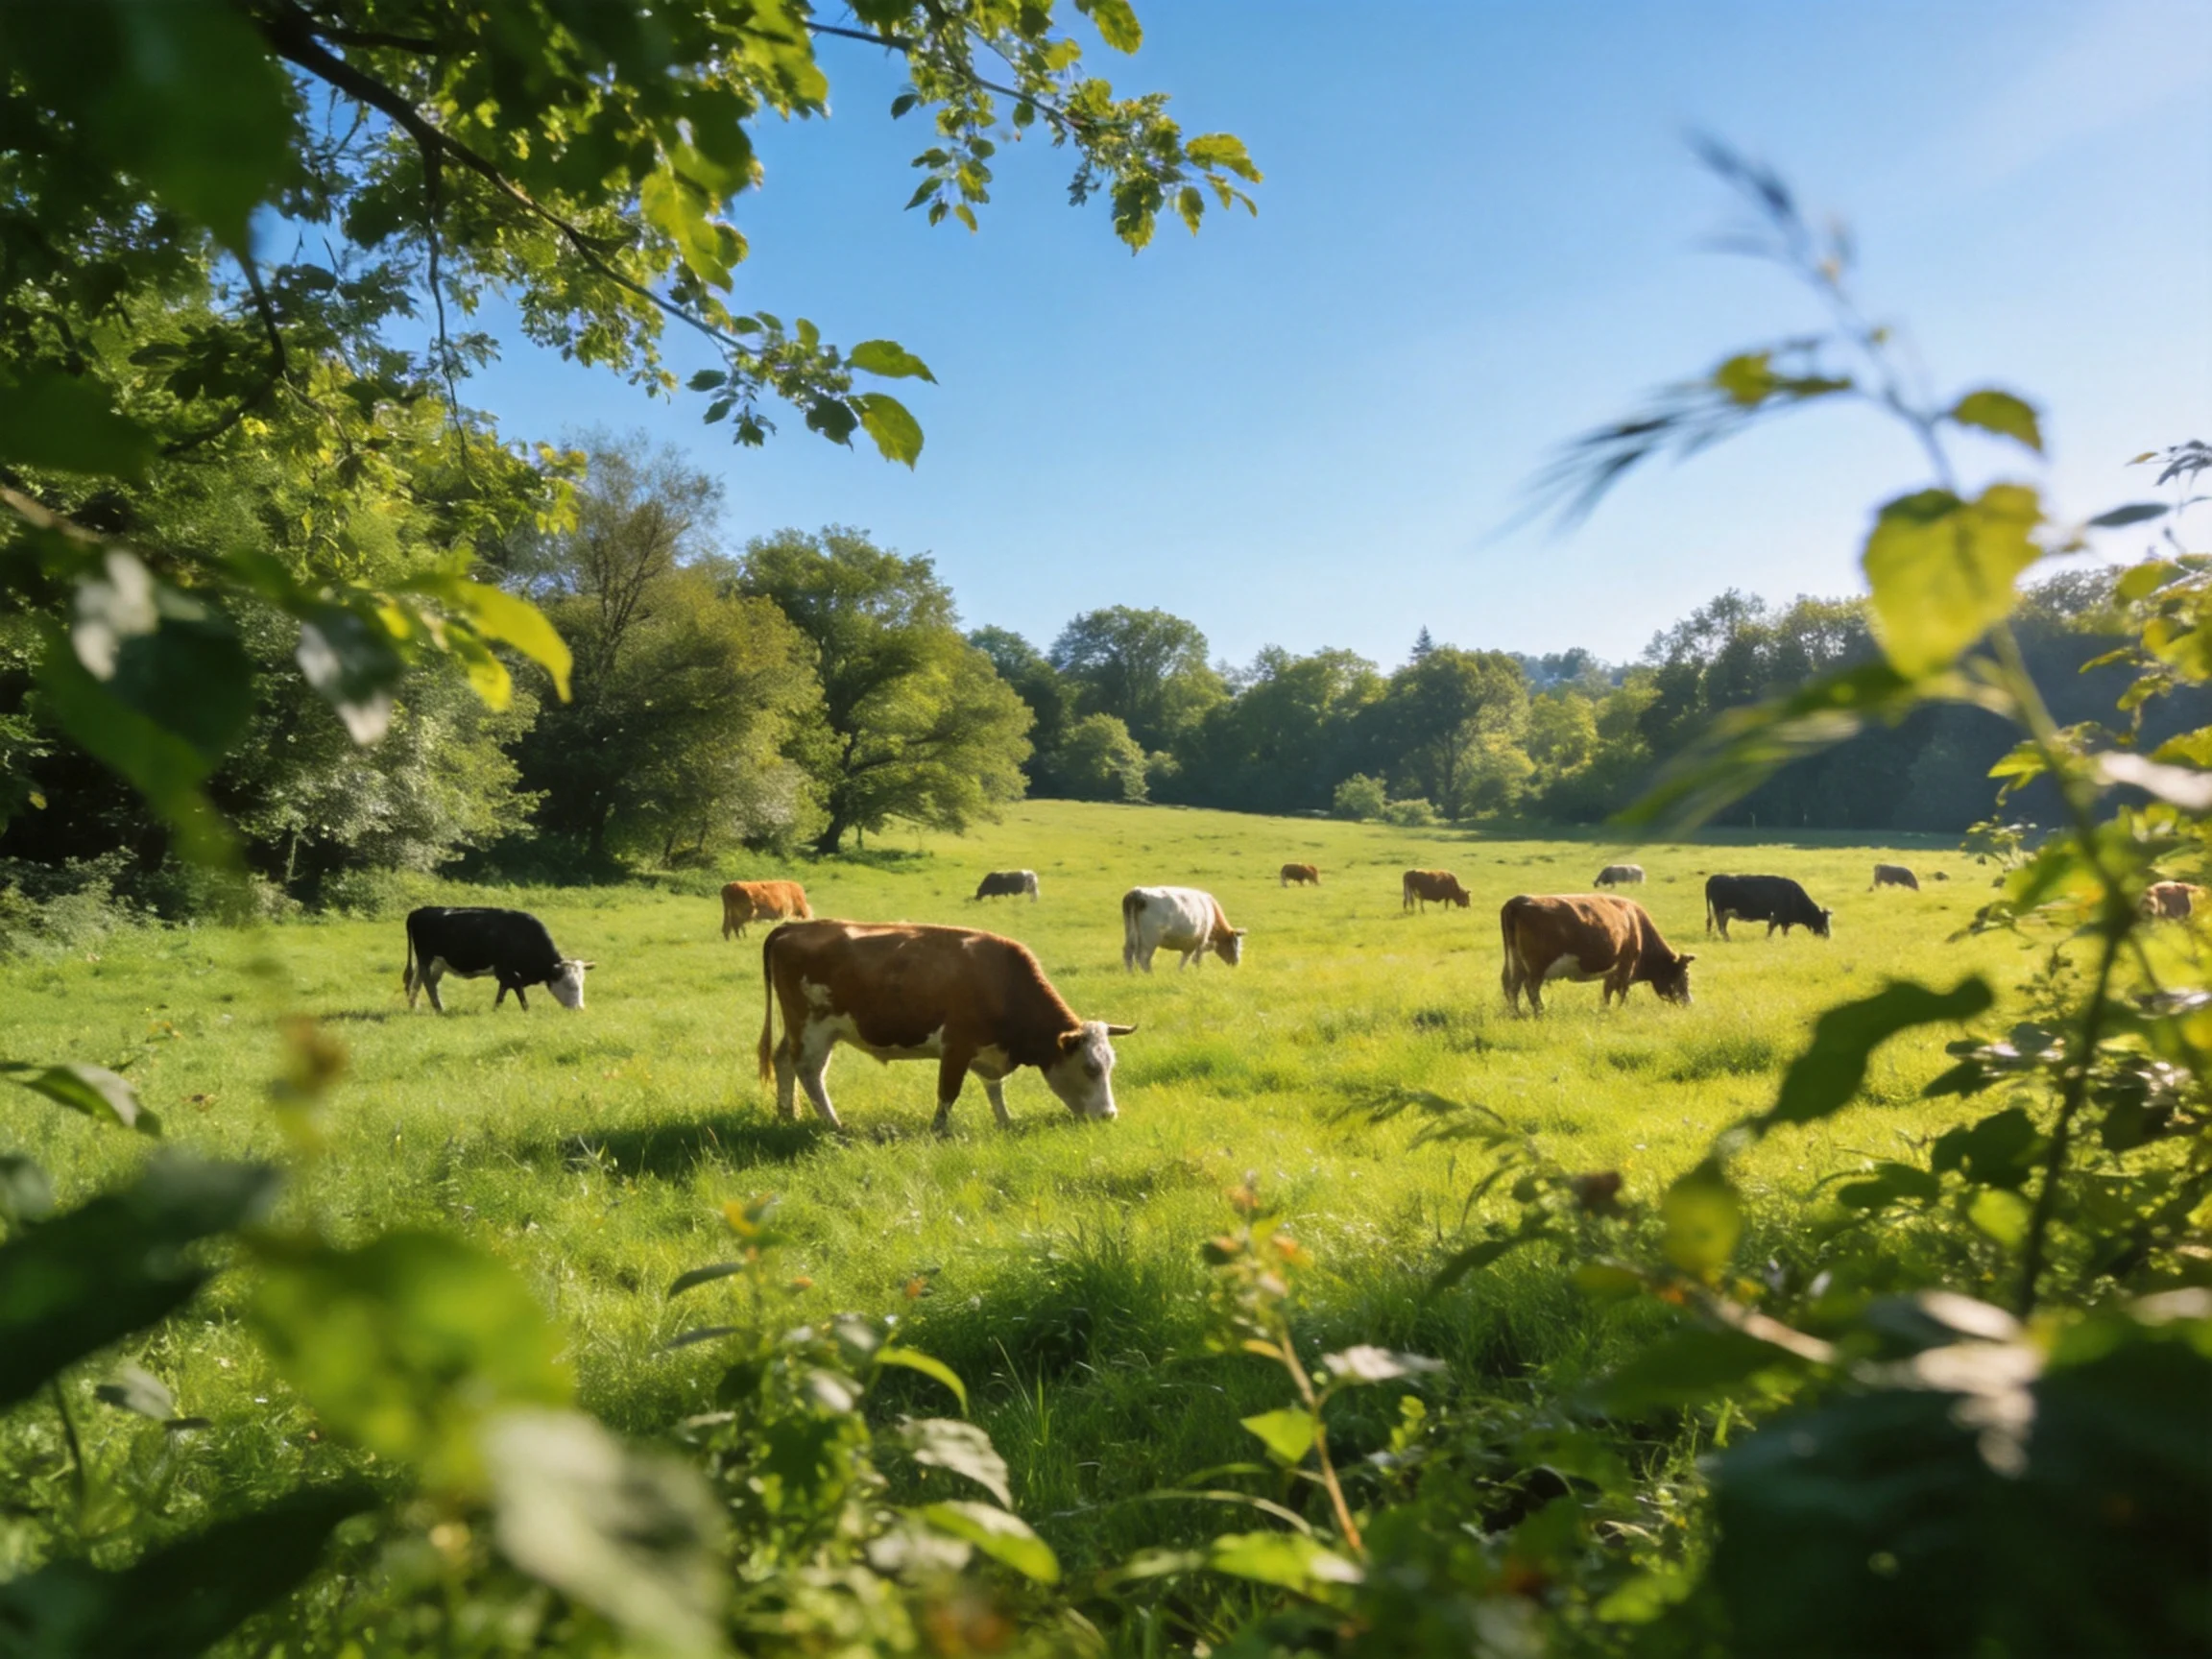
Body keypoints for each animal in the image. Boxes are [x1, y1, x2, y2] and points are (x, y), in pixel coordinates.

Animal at [403, 907, 592, 1012]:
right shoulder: (505, 969)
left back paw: (415, 1007)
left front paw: (496, 1009)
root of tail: (419, 911)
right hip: (426, 957)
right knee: (427, 982)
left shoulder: (506, 973)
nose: (580, 1009)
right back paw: (439, 1008)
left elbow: (503, 990)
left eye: (582, 983)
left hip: (434, 963)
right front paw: (526, 1010)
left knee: (421, 981)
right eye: (570, 985)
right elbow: (515, 987)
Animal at [756, 920, 1134, 1132]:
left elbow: (995, 1088)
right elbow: (948, 1093)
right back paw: (834, 1124)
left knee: (783, 1060)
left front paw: (1005, 1122)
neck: (1003, 981)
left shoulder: (989, 1052)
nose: (1110, 1115)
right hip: (813, 1028)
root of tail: (792, 927)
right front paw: (939, 1131)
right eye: (1090, 1068)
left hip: (799, 1028)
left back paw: (787, 1114)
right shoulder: (956, 1047)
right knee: (809, 1071)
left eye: (1111, 1066)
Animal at [1500, 894, 1694, 1015]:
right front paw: (1618, 1010)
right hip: (1537, 965)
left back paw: (1515, 1013)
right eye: (1685, 976)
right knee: (1530, 987)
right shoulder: (1626, 966)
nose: (1690, 1003)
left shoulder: (1612, 972)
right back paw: (1541, 1011)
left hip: (1514, 960)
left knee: (1511, 985)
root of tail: (1518, 901)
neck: (1637, 925)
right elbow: (1621, 992)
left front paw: (1605, 1009)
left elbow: (1607, 991)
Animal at [1705, 874, 1833, 940]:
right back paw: (1727, 939)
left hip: (1724, 912)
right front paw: (1767, 939)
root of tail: (1715, 877)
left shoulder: (1785, 921)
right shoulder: (1777, 916)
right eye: (1823, 922)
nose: (1828, 937)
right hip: (1719, 910)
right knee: (1721, 926)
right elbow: (1771, 929)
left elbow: (1784, 932)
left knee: (1720, 925)